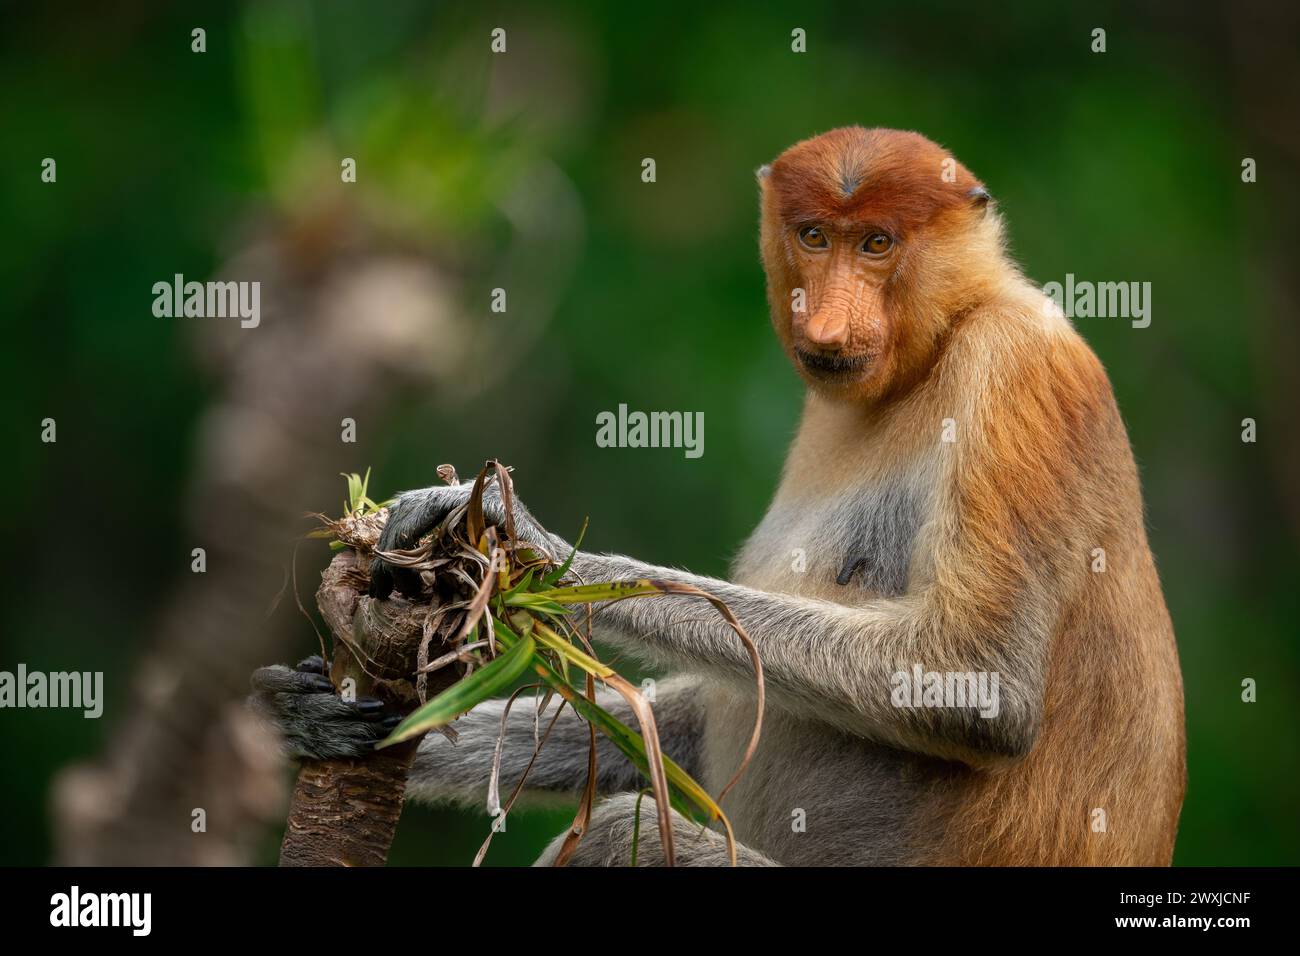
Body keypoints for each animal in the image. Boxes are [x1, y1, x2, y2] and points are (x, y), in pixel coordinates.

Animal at [253, 125, 1190, 868]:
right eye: (813, 236)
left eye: (877, 244)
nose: (828, 320)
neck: (942, 338)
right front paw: (316, 716)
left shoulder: (1017, 373)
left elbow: (977, 681)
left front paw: (525, 550)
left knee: (619, 833)